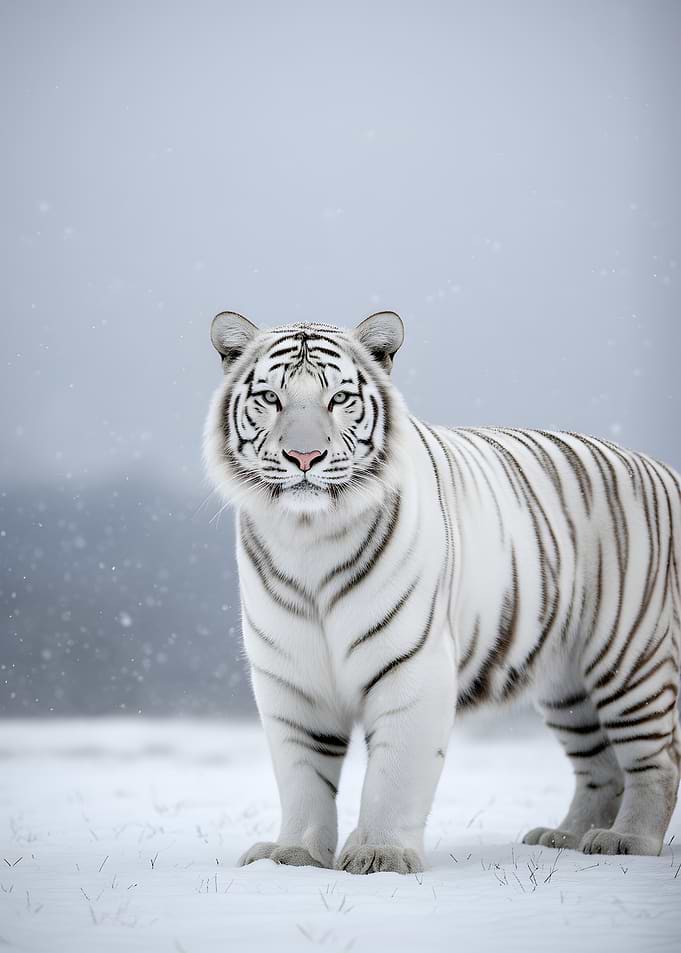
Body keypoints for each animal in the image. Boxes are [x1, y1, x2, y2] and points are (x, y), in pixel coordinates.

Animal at [203, 309, 681, 875]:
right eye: (270, 398)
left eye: (338, 398)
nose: (304, 455)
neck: (308, 535)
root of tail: (665, 471)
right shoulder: (290, 677)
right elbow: (303, 775)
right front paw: (292, 855)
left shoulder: (412, 664)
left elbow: (394, 773)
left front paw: (381, 854)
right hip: (567, 684)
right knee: (600, 766)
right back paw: (565, 837)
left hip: (628, 655)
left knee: (656, 759)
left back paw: (626, 841)